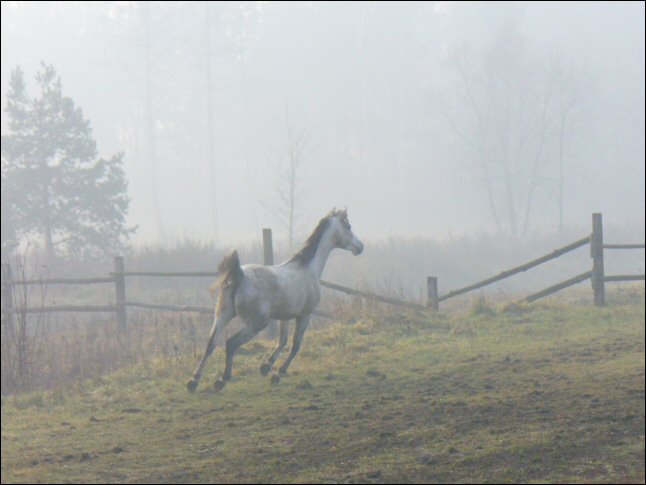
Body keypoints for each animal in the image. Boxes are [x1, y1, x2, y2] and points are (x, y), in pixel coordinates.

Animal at [187, 208, 364, 394]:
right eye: (348, 226)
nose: (360, 246)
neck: (308, 269)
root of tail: (239, 276)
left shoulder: (284, 317)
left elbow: (282, 341)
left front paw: (266, 367)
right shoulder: (304, 315)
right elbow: (295, 345)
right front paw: (277, 375)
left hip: (222, 315)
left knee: (211, 343)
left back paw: (194, 381)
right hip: (256, 324)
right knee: (231, 344)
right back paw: (222, 380)